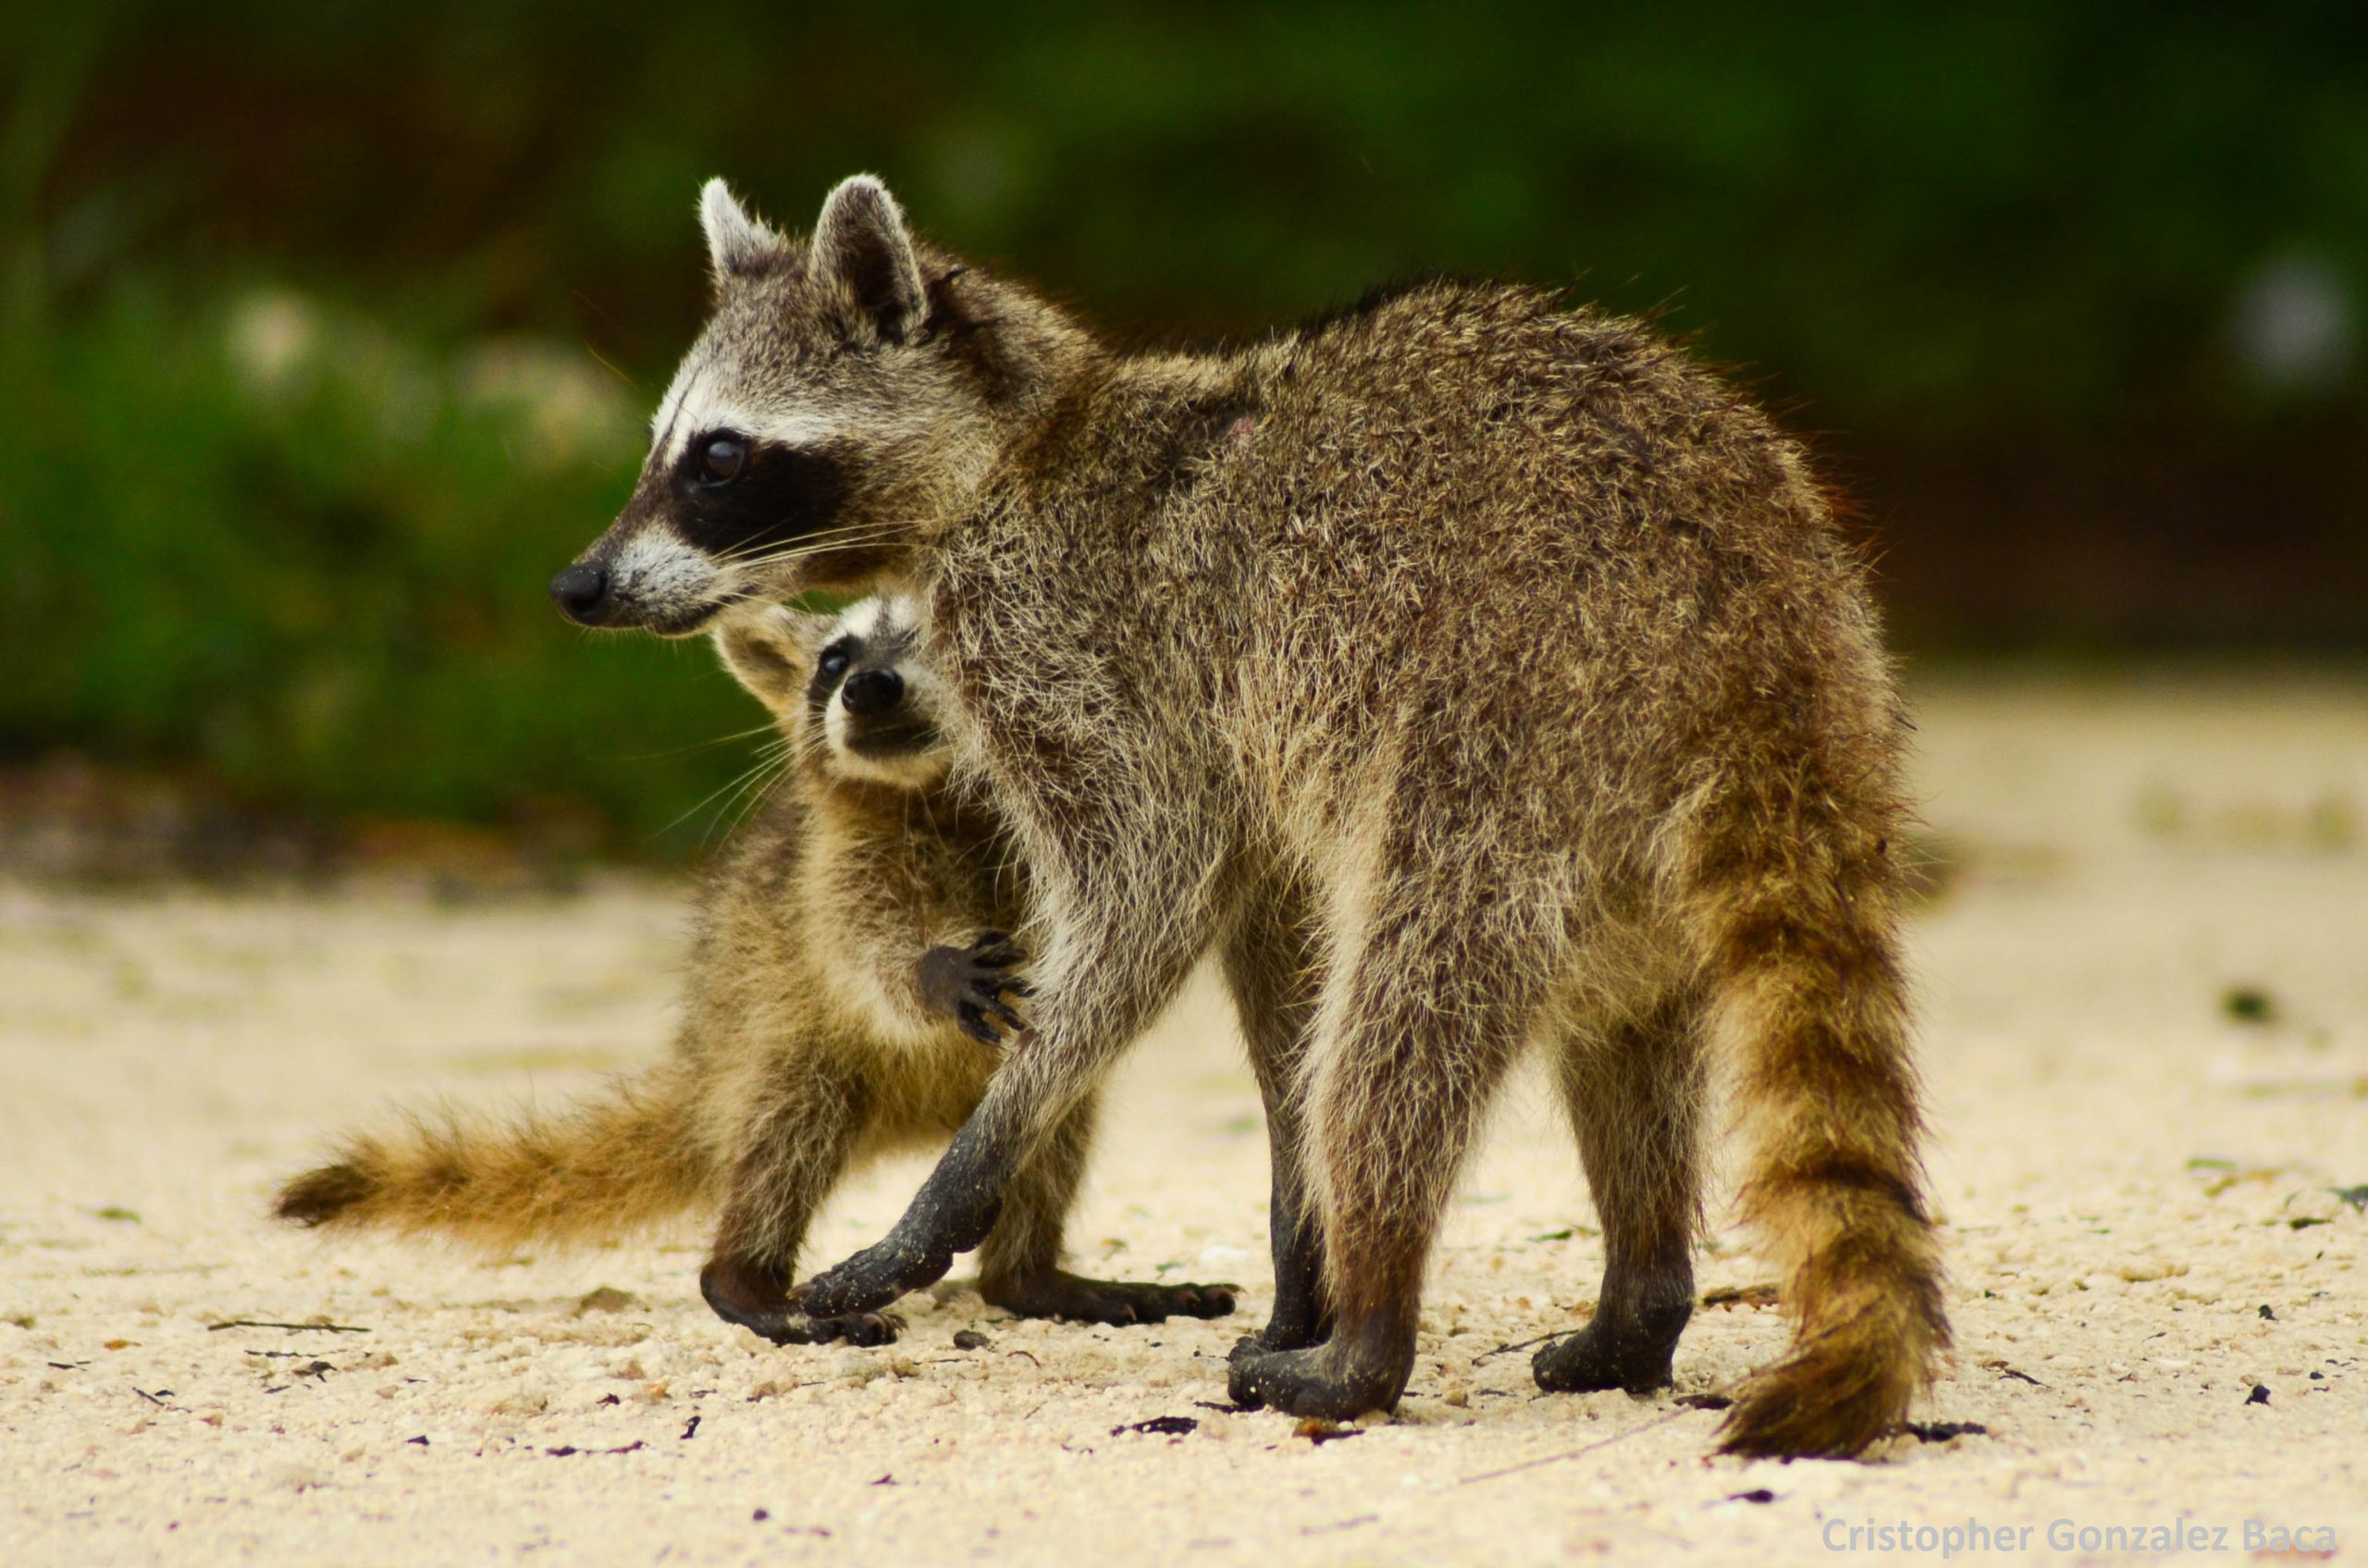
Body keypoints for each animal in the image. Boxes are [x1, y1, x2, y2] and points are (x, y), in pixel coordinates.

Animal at [273, 594, 1236, 1339]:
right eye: (834, 658)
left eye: (932, 641)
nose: (867, 687)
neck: (933, 795)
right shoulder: (829, 875)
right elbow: (864, 951)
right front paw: (929, 969)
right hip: (778, 1045)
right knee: (787, 1131)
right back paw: (746, 1276)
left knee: (1053, 1120)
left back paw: (1027, 1273)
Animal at [548, 176, 1948, 1457]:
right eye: (665, 445)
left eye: (718, 457)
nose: (578, 584)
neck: (1021, 451)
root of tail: (1761, 642)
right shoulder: (1256, 766)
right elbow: (1271, 975)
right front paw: (1295, 1249)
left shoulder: (1090, 648)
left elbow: (1145, 899)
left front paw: (975, 1162)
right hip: (1627, 825)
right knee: (1621, 1037)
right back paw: (1637, 1295)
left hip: (1501, 740)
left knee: (1398, 1024)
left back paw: (1371, 1335)